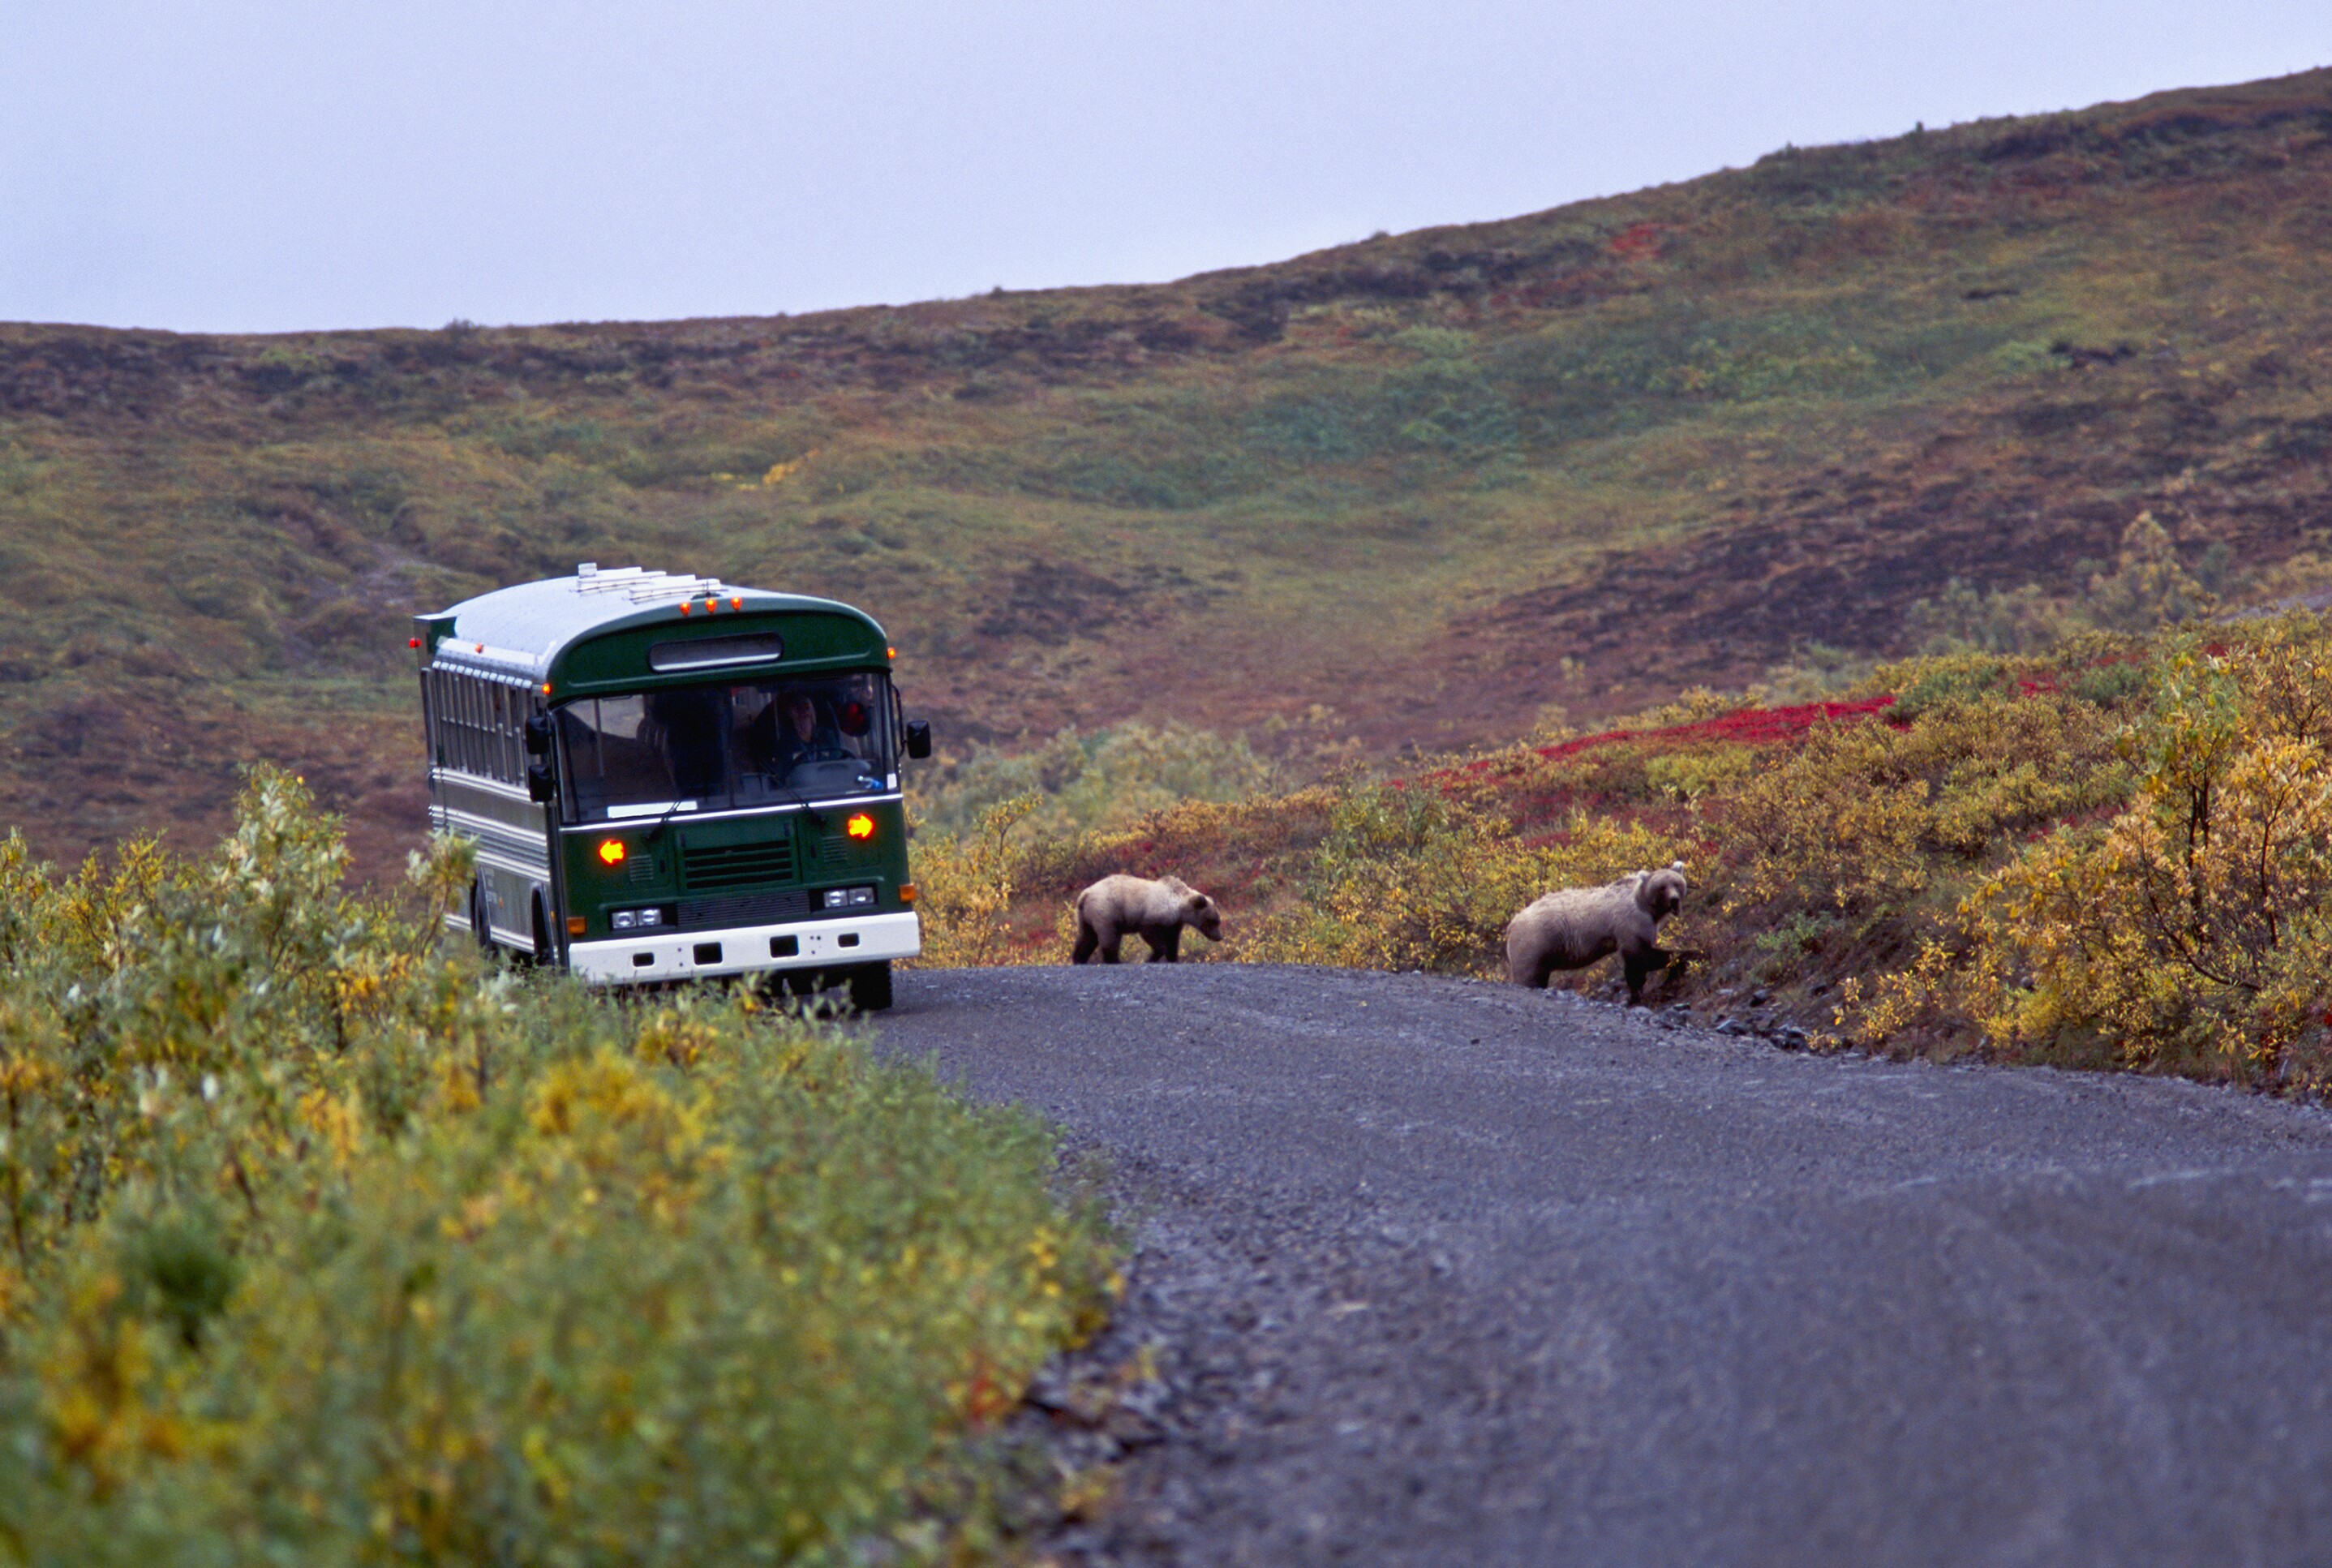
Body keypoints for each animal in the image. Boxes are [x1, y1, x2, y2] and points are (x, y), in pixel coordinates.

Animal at [1067, 877, 1231, 961]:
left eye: (1218, 920)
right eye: (1212, 921)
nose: (1219, 937)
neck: (1178, 906)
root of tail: (1085, 895)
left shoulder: (1173, 923)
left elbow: (1173, 941)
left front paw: (1173, 958)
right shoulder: (1153, 915)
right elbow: (1151, 935)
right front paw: (1151, 958)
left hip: (1086, 917)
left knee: (1087, 938)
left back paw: (1079, 959)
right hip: (1106, 913)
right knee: (1109, 940)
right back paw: (1114, 961)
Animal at [1501, 858, 1688, 1003]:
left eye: (1677, 883)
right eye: (1662, 887)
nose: (1674, 900)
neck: (1646, 905)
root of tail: (1512, 923)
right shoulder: (1630, 924)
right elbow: (1640, 957)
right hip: (1535, 941)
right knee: (1528, 976)